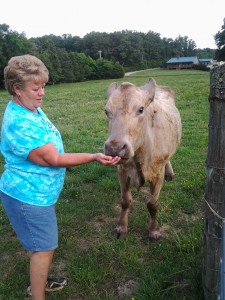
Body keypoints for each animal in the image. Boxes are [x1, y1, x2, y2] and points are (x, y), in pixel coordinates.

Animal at [104, 77, 182, 239]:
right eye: (106, 111)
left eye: (141, 109)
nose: (115, 148)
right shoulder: (121, 170)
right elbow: (125, 201)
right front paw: (121, 227)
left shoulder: (158, 174)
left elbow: (152, 204)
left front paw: (154, 230)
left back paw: (170, 173)